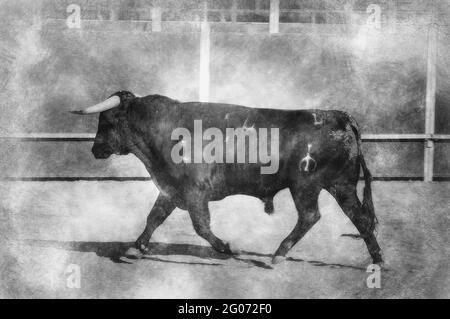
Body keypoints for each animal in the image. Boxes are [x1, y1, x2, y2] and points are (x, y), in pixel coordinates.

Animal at [71, 91, 384, 266]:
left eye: (106, 122)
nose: (95, 149)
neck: (166, 129)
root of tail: (339, 116)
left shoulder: (195, 193)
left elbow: (201, 226)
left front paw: (226, 247)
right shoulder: (171, 189)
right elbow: (154, 217)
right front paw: (136, 248)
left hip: (306, 186)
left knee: (310, 216)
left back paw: (278, 254)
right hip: (341, 185)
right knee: (360, 218)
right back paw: (378, 260)